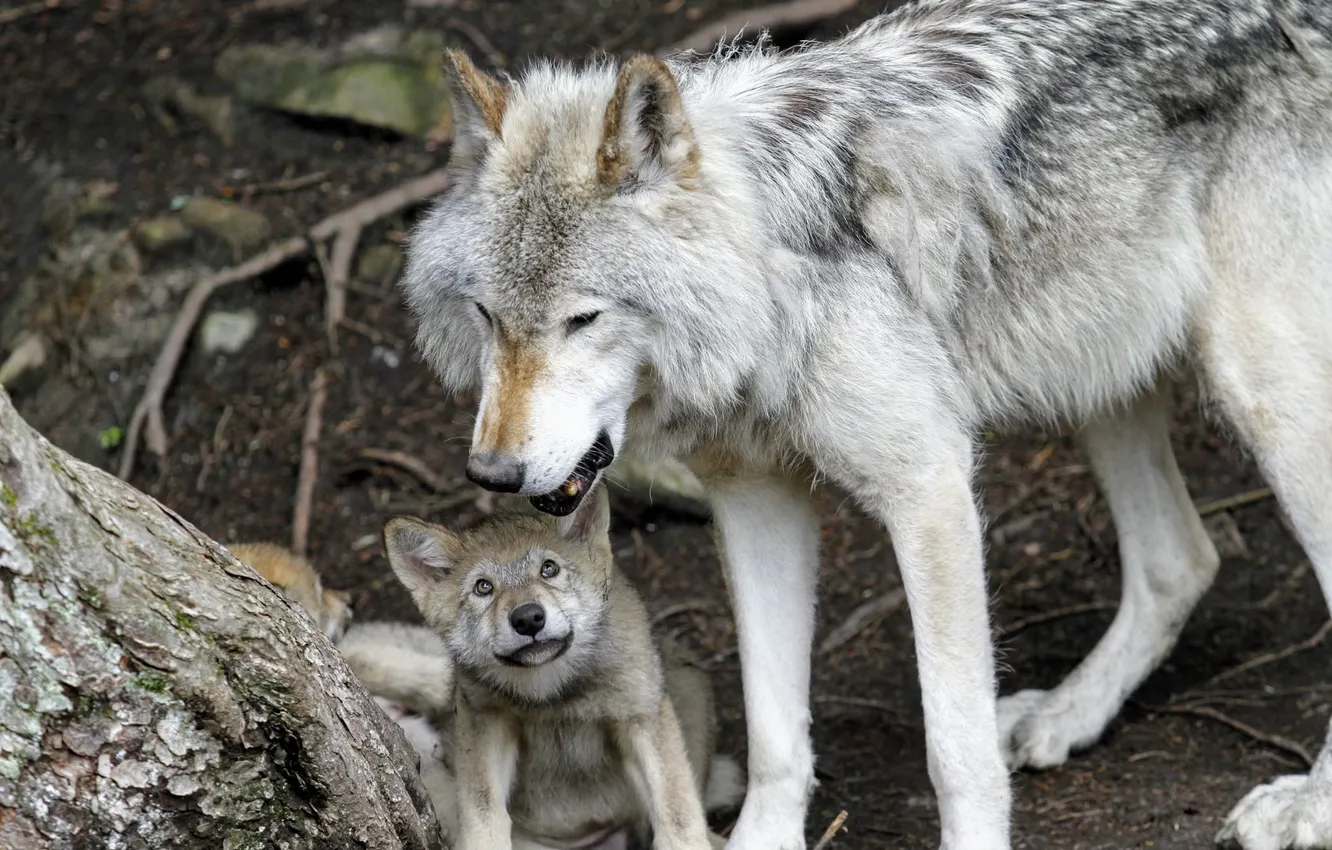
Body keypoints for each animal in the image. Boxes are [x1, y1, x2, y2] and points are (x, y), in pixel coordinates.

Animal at [380, 487, 744, 850]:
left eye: (548, 569)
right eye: (483, 587)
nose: (528, 618)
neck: (553, 694)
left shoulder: (640, 716)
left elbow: (678, 813)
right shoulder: (485, 720)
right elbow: (483, 813)